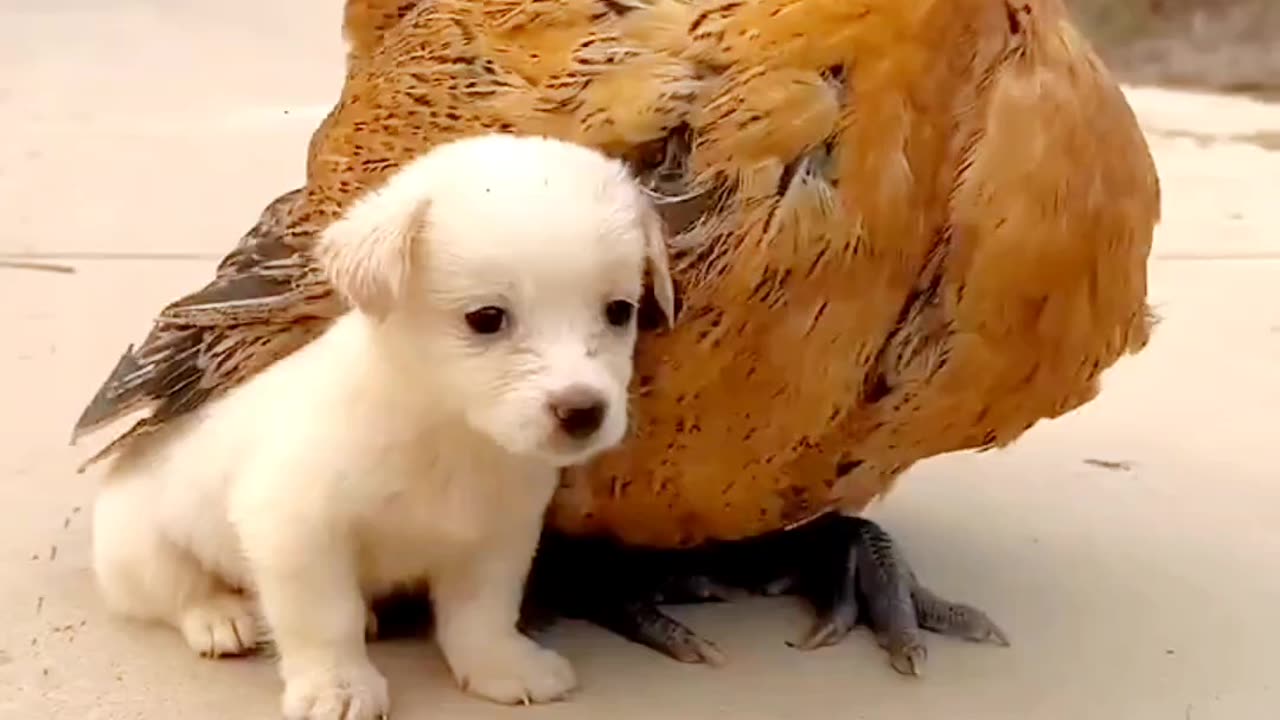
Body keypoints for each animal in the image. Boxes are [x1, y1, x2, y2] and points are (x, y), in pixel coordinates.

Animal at [90, 131, 680, 712]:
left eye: (620, 311)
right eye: (487, 318)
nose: (583, 411)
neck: (448, 432)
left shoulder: (499, 534)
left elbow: (483, 613)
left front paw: (501, 665)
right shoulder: (295, 527)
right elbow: (327, 619)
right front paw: (337, 686)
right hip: (138, 549)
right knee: (177, 595)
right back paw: (222, 616)